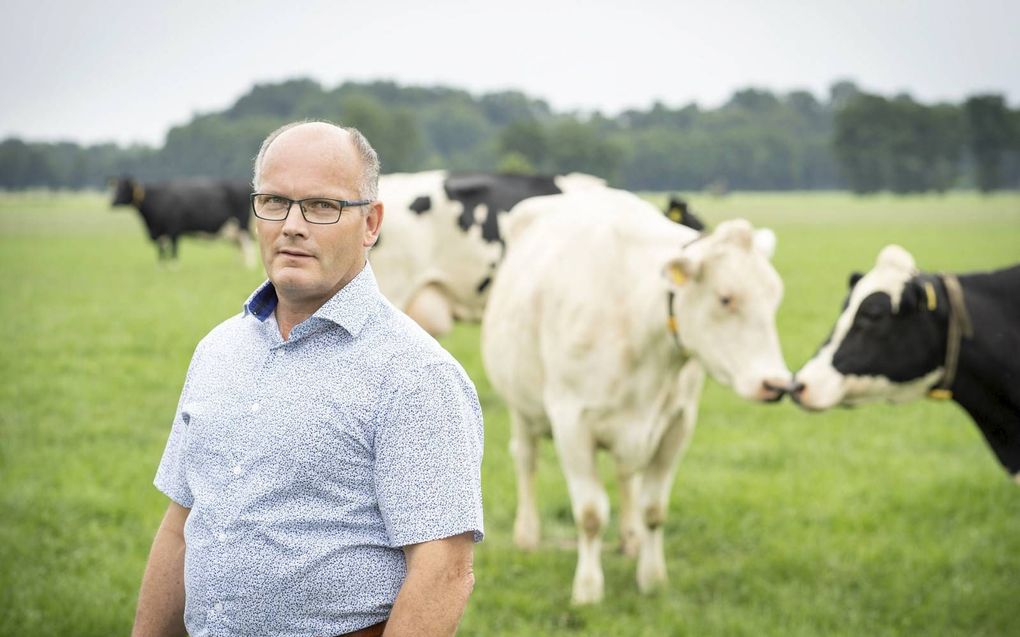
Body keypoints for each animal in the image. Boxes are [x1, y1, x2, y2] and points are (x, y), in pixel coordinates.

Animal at [109, 174, 255, 264]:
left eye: (124, 189)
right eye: (115, 188)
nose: (112, 203)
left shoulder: (174, 229)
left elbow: (174, 250)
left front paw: (174, 267)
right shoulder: (160, 232)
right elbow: (161, 251)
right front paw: (161, 267)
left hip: (242, 226)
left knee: (247, 246)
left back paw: (248, 266)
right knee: (240, 247)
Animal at [481, 187, 791, 599]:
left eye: (775, 297)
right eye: (725, 298)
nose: (777, 384)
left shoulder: (677, 422)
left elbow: (653, 509)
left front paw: (653, 578)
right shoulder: (571, 420)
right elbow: (591, 513)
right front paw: (588, 589)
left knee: (625, 475)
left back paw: (630, 539)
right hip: (521, 405)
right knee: (525, 459)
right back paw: (527, 535)